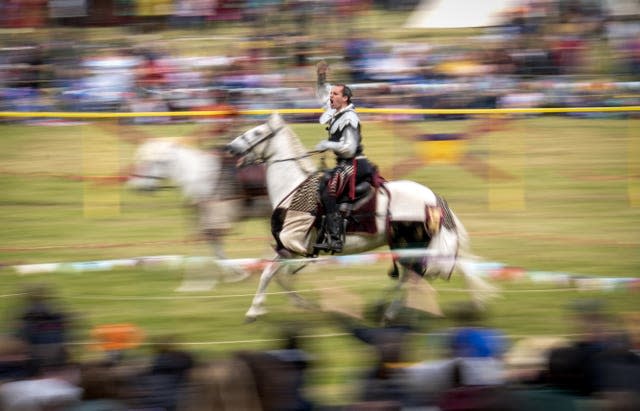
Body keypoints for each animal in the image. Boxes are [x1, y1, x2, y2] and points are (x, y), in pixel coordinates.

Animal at [228, 112, 498, 322]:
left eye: (256, 132)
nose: (231, 147)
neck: (292, 186)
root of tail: (433, 198)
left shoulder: (291, 246)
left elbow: (268, 273)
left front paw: (254, 312)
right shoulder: (287, 248)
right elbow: (273, 273)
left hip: (409, 243)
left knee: (414, 275)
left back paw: (393, 312)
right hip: (410, 245)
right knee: (416, 274)